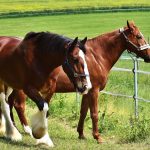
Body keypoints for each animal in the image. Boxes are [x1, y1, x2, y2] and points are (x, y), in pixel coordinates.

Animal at [1, 20, 150, 144]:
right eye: (138, 36)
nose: (148, 55)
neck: (97, 56)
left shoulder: (86, 90)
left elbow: (83, 112)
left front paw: (81, 134)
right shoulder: (94, 91)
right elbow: (94, 114)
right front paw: (97, 137)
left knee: (10, 102)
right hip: (20, 89)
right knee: (18, 105)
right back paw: (25, 130)